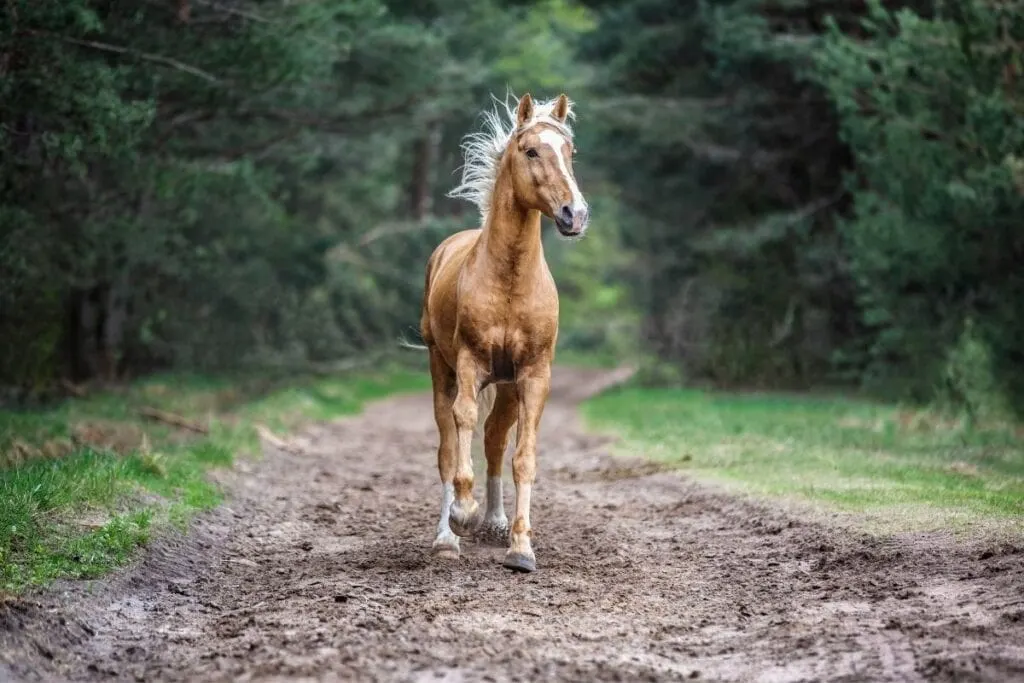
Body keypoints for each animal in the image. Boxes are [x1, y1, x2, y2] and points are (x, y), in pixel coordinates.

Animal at [417, 90, 593, 573]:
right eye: (530, 150)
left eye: (570, 151)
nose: (575, 214)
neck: (511, 280)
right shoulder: (469, 364)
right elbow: (462, 425)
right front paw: (462, 514)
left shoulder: (533, 376)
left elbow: (522, 457)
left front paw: (520, 548)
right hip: (441, 368)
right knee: (447, 443)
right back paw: (448, 535)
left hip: (509, 386)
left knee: (496, 438)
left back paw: (495, 521)